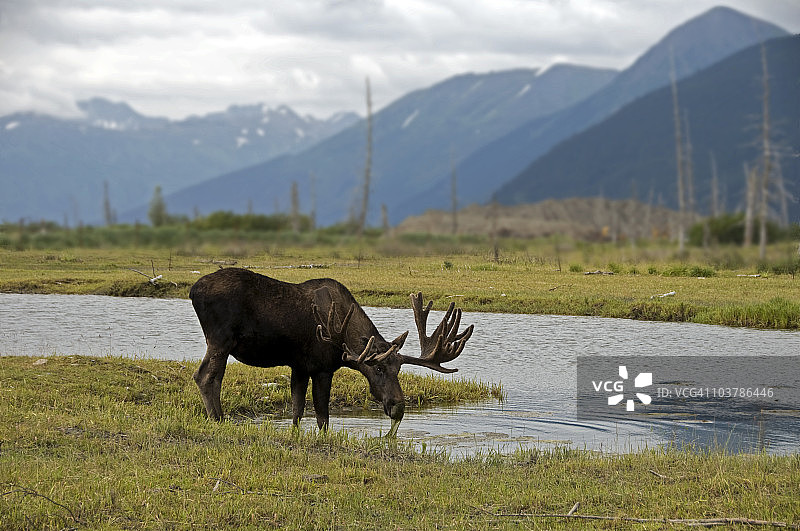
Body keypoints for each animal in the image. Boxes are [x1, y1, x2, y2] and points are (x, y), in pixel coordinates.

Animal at [189, 268, 473, 434]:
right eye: (378, 367)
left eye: (398, 369)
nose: (398, 408)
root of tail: (193, 291)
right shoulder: (322, 368)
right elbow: (322, 416)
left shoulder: (299, 366)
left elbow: (296, 411)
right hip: (220, 340)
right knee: (205, 376)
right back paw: (218, 420)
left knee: (213, 377)